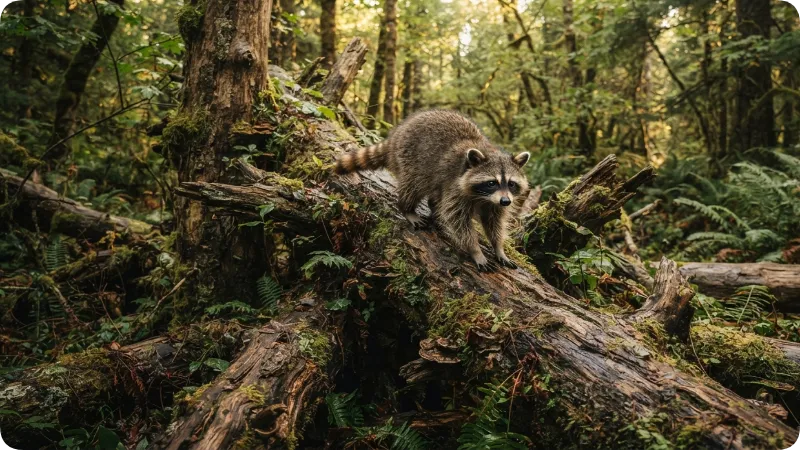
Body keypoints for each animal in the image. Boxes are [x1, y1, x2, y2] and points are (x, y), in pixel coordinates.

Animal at [335, 110, 530, 271]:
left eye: (511, 183)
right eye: (492, 183)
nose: (506, 201)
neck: (485, 197)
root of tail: (397, 134)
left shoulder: (495, 203)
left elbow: (494, 223)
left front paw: (498, 247)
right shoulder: (456, 187)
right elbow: (458, 221)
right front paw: (475, 250)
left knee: (435, 196)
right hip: (411, 158)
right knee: (414, 185)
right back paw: (407, 208)